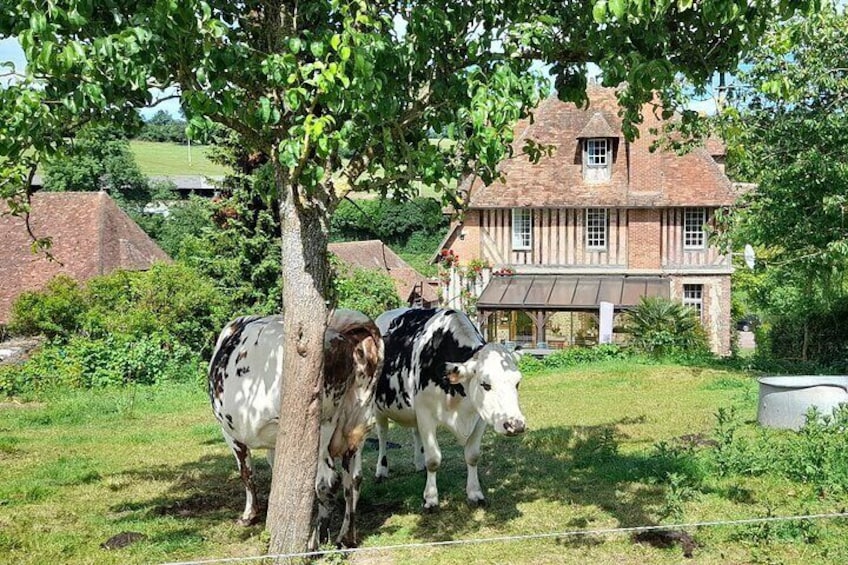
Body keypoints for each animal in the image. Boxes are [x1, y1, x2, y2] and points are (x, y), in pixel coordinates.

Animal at [209, 308, 384, 548]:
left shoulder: (230, 432)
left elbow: (246, 472)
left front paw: (248, 515)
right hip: (359, 424)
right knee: (353, 479)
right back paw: (346, 537)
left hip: (320, 428)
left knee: (328, 481)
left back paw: (314, 543)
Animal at [376, 306, 528, 508]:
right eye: (485, 384)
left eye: (517, 382)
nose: (515, 425)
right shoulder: (425, 414)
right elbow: (433, 459)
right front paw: (431, 498)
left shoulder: (480, 417)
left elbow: (472, 455)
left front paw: (475, 493)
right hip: (376, 408)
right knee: (382, 435)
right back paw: (381, 470)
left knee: (415, 433)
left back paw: (419, 464)